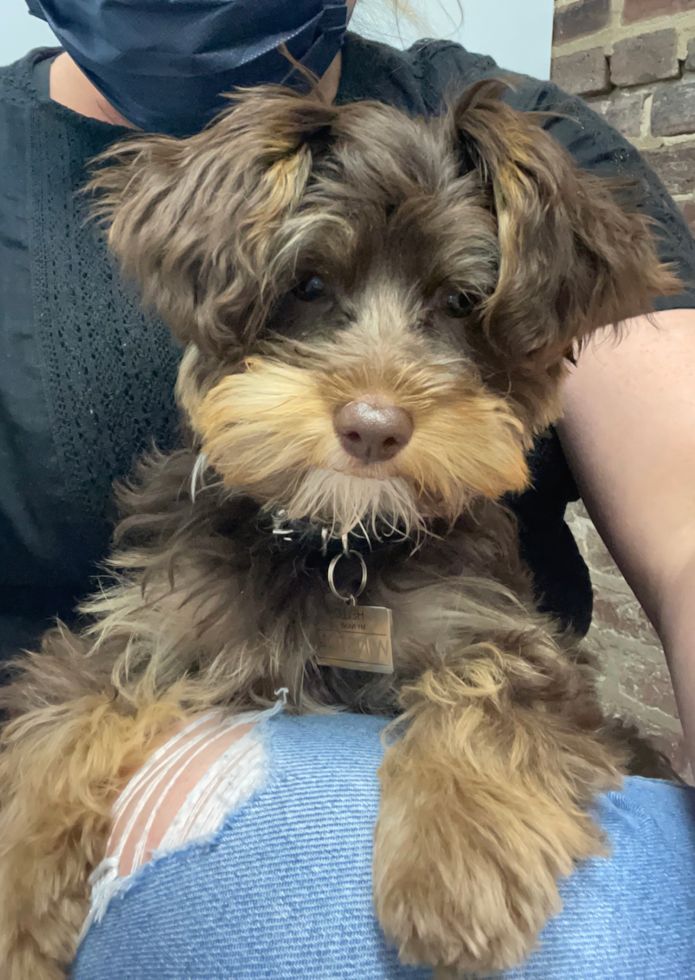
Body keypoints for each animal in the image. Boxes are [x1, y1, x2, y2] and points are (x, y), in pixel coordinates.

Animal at [0, 84, 680, 980]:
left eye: (458, 302)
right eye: (309, 284)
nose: (373, 427)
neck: (335, 541)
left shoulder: (493, 625)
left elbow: (493, 687)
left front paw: (458, 857)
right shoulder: (144, 630)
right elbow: (57, 721)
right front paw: (15, 906)